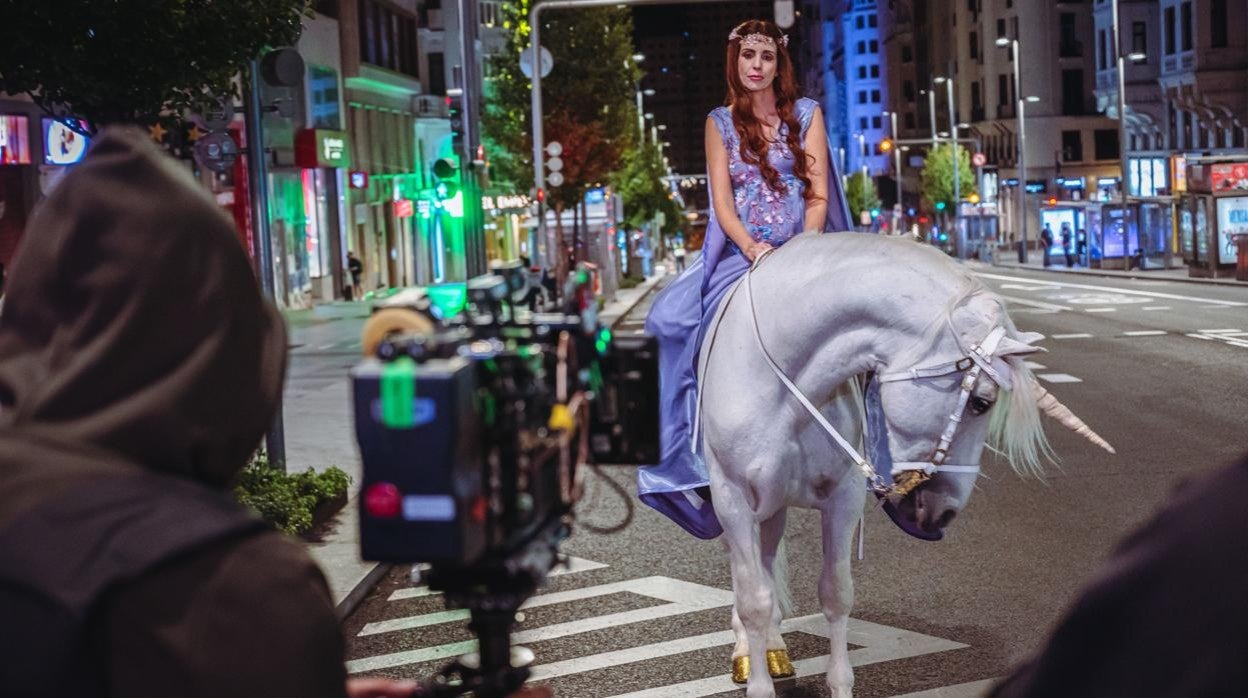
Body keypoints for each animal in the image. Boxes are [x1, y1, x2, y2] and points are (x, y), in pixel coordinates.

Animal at [698, 232, 1118, 694]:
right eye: (981, 401)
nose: (945, 513)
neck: (785, 388)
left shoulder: (841, 499)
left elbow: (835, 594)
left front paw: (839, 684)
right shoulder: (733, 499)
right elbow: (752, 599)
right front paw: (756, 678)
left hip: (774, 506)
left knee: (768, 564)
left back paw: (774, 649)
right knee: (748, 578)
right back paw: (748, 652)